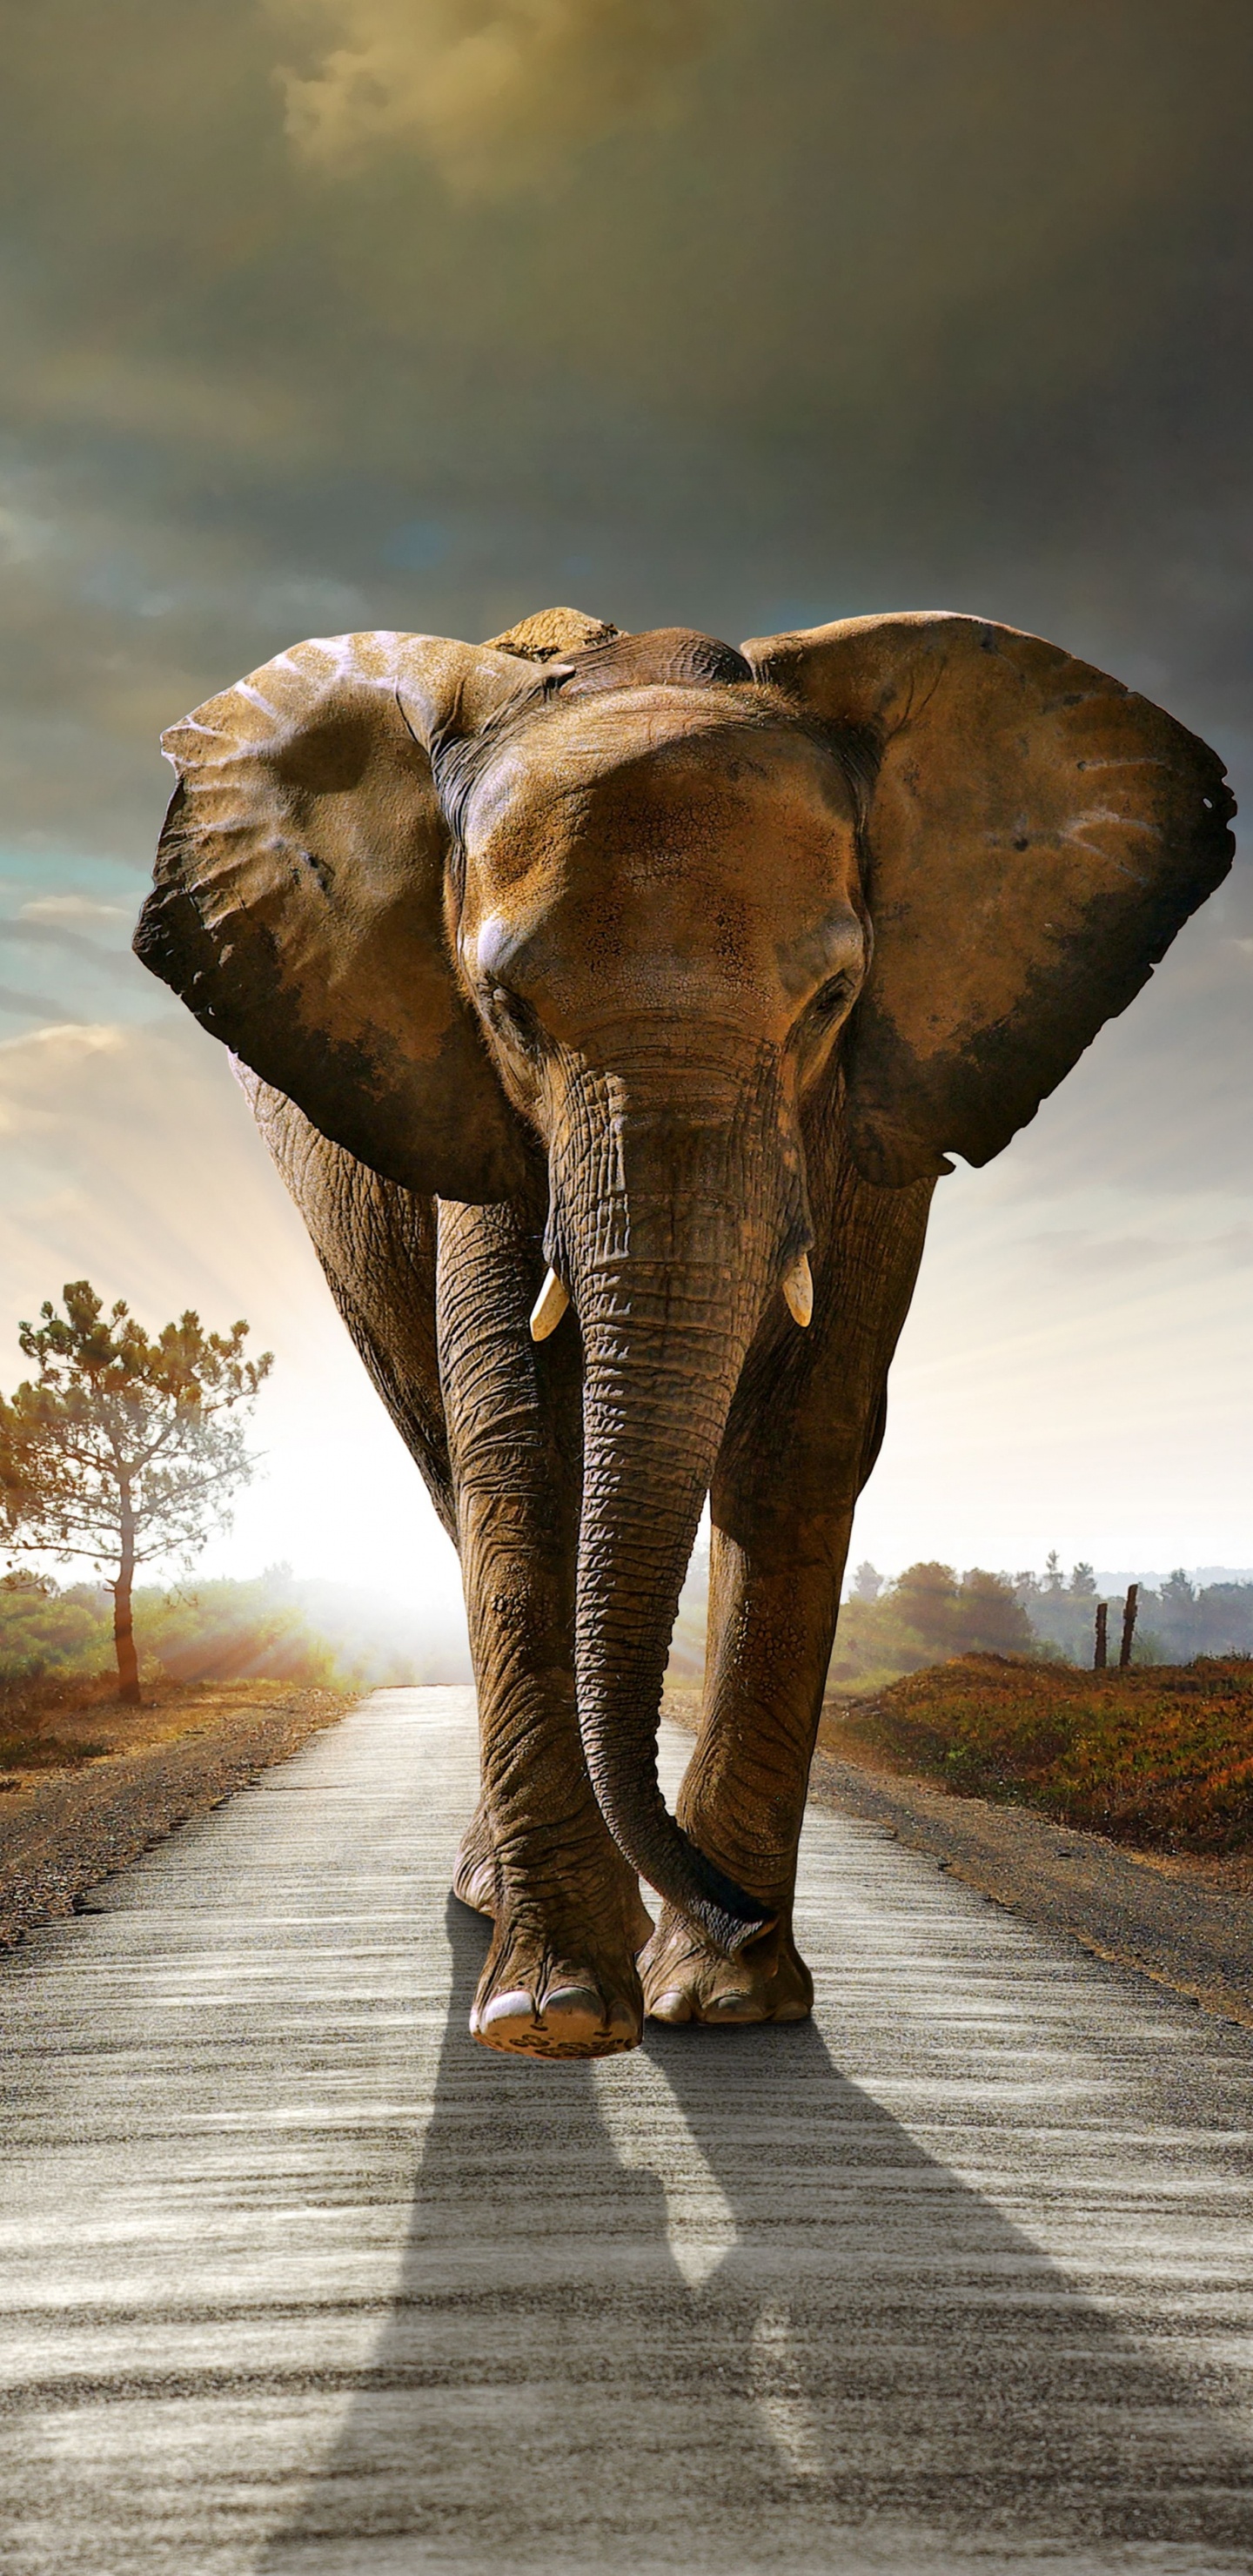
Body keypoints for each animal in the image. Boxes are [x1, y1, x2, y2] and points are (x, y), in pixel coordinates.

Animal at [134, 603, 1234, 2061]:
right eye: (507, 1010)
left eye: (832, 1000)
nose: (735, 1908)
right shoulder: (477, 1114)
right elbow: (522, 1441)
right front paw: (557, 2015)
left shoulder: (879, 1110)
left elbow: (803, 1439)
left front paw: (728, 2001)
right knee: (446, 1463)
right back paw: (499, 1910)